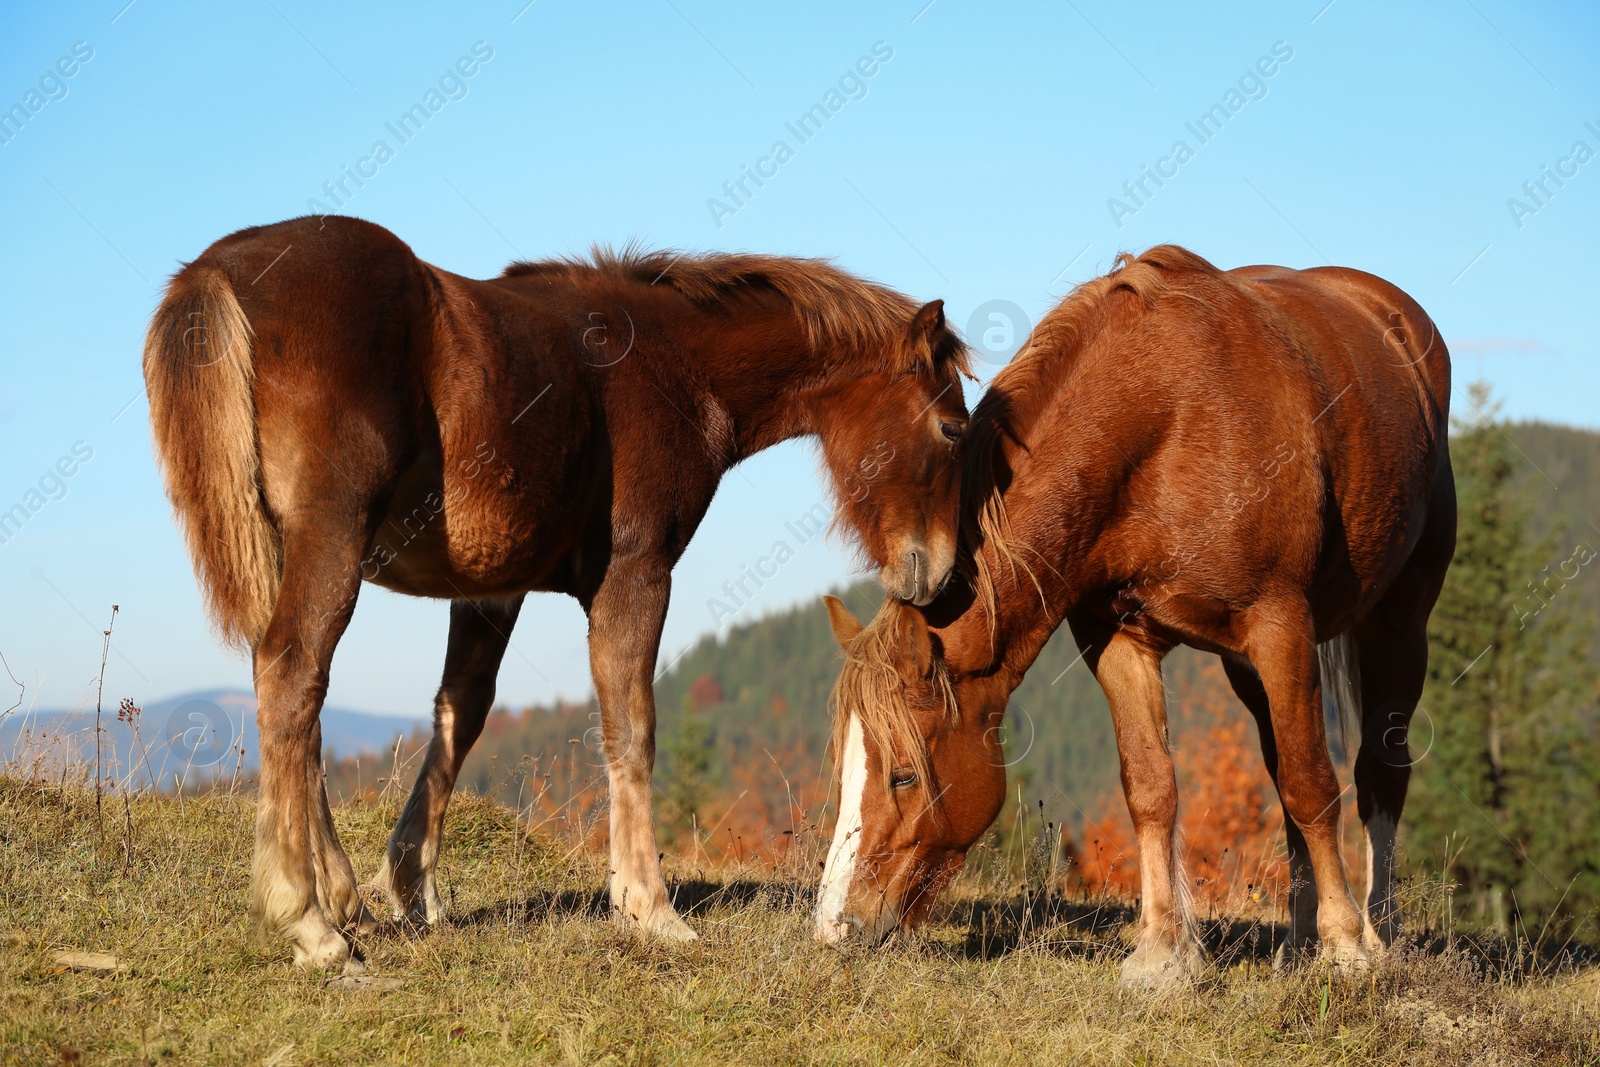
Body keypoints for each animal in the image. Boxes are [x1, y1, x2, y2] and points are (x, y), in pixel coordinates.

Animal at [147, 214, 972, 966]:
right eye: (952, 429)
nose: (940, 576)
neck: (672, 363)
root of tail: (218, 270)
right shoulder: (636, 572)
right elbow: (630, 725)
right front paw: (649, 907)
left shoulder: (491, 589)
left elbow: (460, 714)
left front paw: (411, 888)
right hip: (330, 537)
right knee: (291, 673)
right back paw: (308, 920)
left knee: (294, 698)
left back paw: (342, 896)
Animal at [819, 246, 1459, 991]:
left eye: (903, 775)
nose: (833, 926)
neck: (1160, 417)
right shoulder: (1117, 640)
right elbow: (1151, 785)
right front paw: (1162, 951)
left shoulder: (1282, 627)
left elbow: (1313, 783)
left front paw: (1348, 947)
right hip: (1249, 669)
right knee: (1280, 767)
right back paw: (1298, 938)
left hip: (1396, 626)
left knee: (1377, 771)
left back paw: (1377, 930)